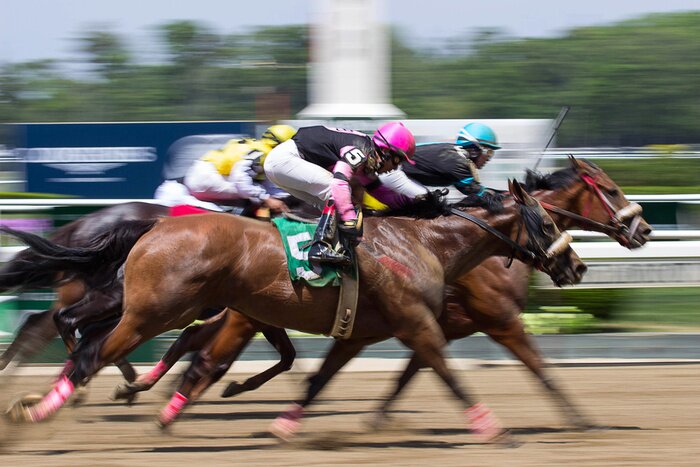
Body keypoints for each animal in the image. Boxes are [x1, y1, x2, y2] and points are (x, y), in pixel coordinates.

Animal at [5, 181, 584, 444]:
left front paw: (284, 425)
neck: (423, 242)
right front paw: (494, 429)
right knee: (87, 349)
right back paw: (41, 409)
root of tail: (154, 225)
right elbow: (449, 372)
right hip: (152, 311)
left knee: (89, 339)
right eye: (548, 223)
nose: (576, 266)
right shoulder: (417, 322)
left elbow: (316, 377)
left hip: (171, 308)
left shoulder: (359, 331)